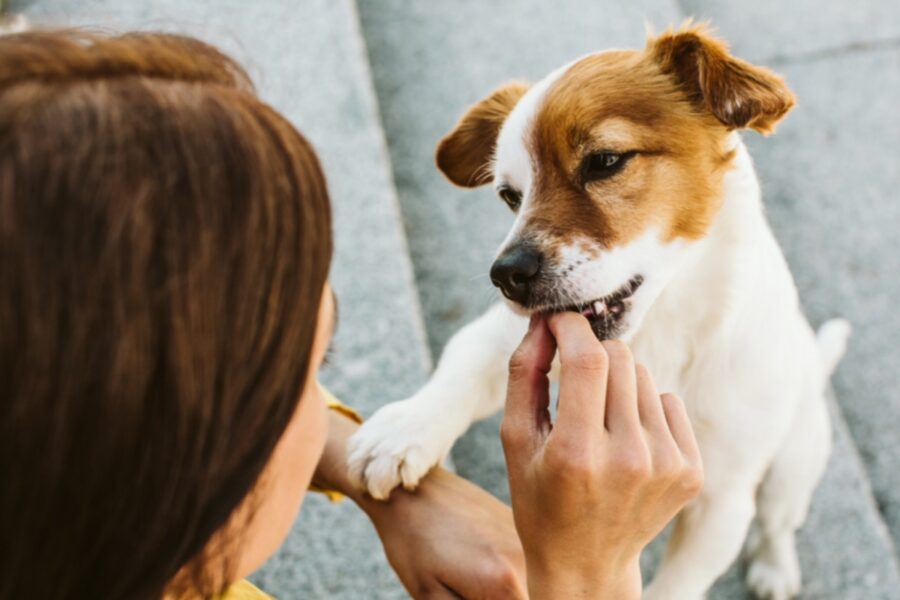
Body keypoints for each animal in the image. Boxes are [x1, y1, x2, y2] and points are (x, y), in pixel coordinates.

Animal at [346, 23, 852, 600]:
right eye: (509, 195)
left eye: (605, 162)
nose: (506, 274)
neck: (659, 328)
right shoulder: (499, 339)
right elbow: (462, 367)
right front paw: (403, 430)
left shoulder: (721, 504)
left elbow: (678, 583)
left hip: (793, 463)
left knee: (778, 521)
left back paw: (775, 566)